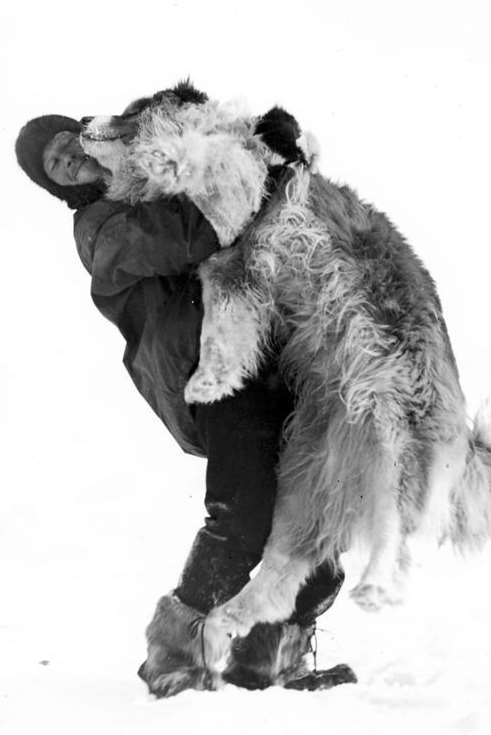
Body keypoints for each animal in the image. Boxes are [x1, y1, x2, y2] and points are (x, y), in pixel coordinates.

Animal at [80, 83, 491, 676]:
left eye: (133, 107)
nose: (83, 119)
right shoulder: (230, 275)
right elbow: (223, 330)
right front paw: (209, 384)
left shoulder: (236, 232)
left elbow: (220, 159)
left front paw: (169, 156)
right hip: (301, 485)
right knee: (282, 572)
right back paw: (226, 621)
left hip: (387, 422)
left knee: (396, 526)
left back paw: (374, 589)